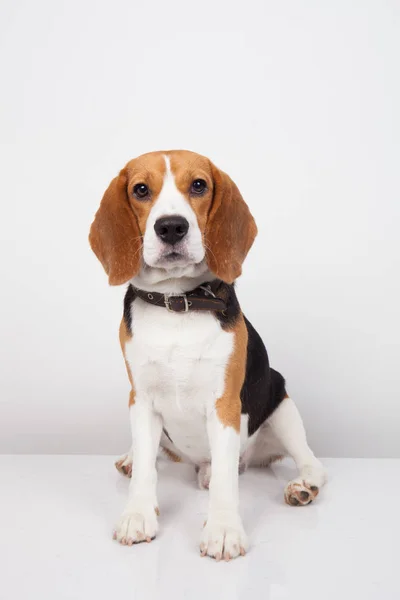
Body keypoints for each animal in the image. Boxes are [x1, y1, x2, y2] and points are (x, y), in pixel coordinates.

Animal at [89, 150, 326, 564]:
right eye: (140, 190)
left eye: (199, 185)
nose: (171, 227)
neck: (176, 304)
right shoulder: (142, 399)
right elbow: (146, 470)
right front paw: (137, 515)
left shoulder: (224, 404)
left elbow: (226, 482)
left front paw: (224, 529)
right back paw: (134, 457)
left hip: (281, 404)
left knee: (311, 462)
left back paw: (302, 486)